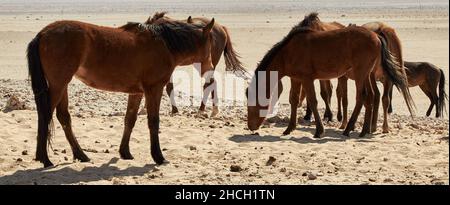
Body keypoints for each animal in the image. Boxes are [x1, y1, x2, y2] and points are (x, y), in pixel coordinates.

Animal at [27, 18, 217, 167]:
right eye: (210, 43)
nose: (210, 70)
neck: (164, 44)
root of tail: (43, 34)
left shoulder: (137, 93)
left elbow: (130, 120)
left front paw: (125, 152)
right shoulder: (153, 89)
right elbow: (153, 122)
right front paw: (158, 156)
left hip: (62, 85)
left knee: (63, 117)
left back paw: (81, 155)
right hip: (59, 85)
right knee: (46, 115)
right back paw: (45, 159)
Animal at [246, 12, 412, 138]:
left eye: (253, 104)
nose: (251, 126)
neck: (288, 53)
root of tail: (377, 36)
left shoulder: (307, 79)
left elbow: (313, 101)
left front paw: (319, 131)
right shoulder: (296, 79)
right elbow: (293, 100)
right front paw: (289, 128)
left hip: (361, 74)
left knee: (362, 96)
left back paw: (349, 128)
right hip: (367, 74)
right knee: (371, 96)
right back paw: (364, 130)